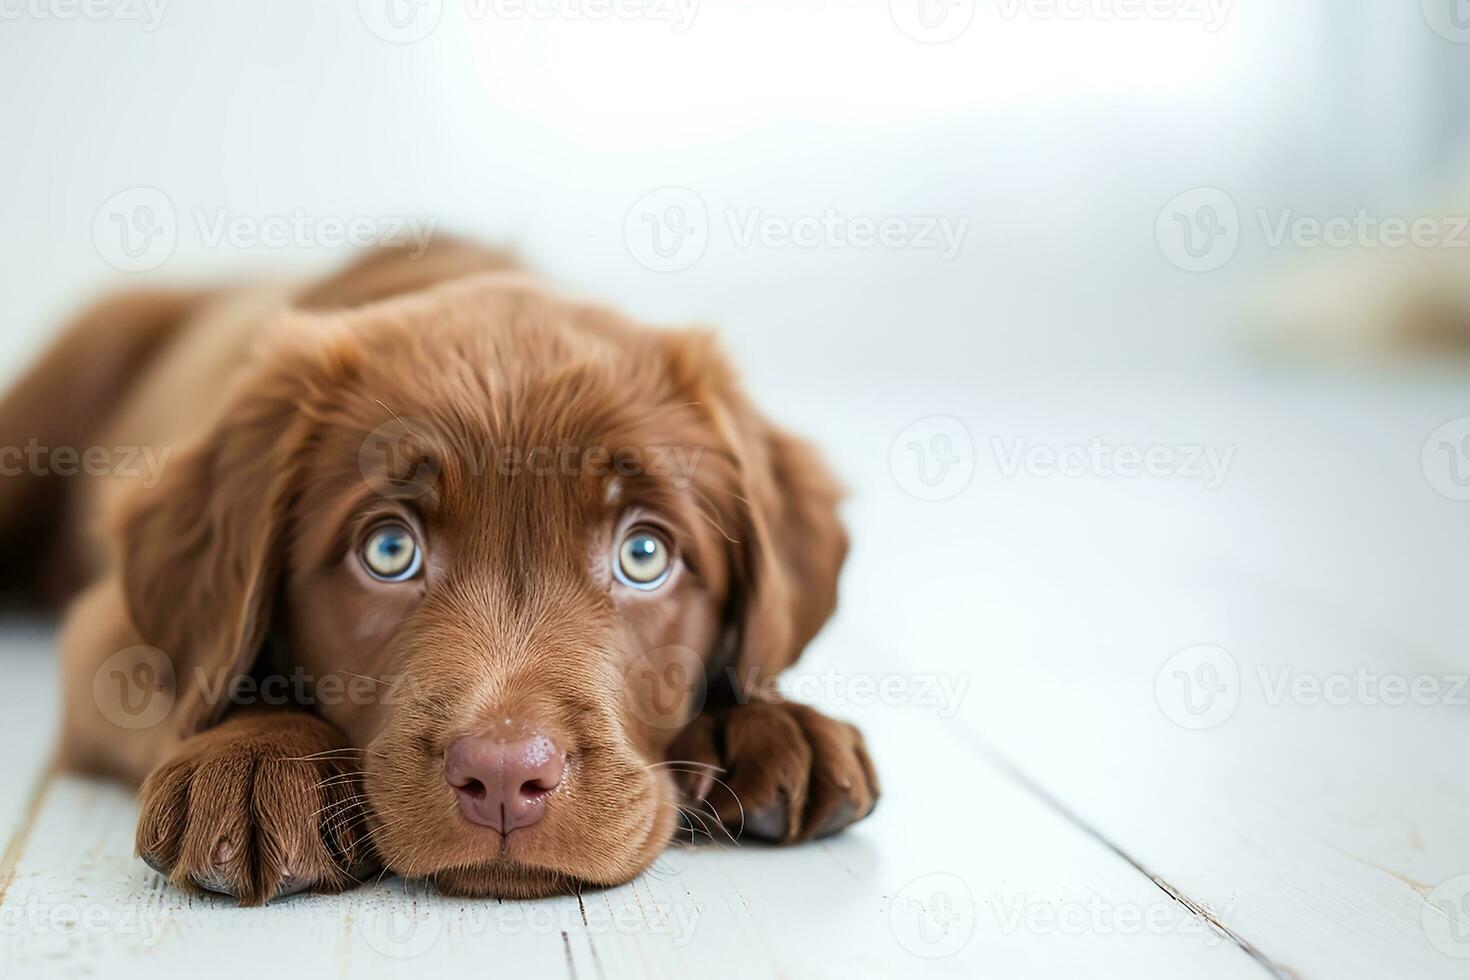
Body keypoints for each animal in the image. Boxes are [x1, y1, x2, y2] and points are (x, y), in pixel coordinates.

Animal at [0, 243, 870, 905]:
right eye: (389, 551)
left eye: (643, 555)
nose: (504, 778)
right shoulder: (106, 632)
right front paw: (252, 757)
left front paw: (772, 722)